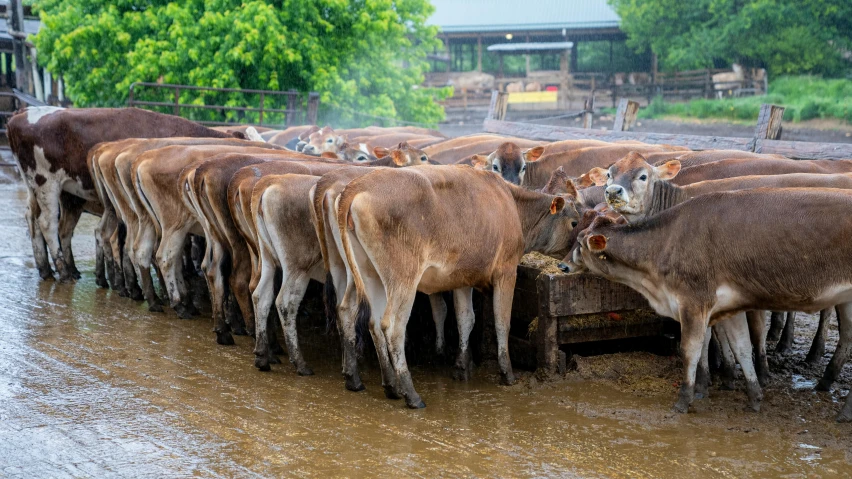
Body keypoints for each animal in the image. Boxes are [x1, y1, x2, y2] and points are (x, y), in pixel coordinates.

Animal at [336, 166, 584, 408]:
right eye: (574, 222)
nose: (569, 262)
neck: (513, 205)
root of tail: (360, 184)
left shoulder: (463, 277)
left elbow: (466, 319)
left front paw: (461, 367)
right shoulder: (506, 270)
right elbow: (502, 321)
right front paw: (507, 374)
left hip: (365, 274)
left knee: (356, 314)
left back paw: (375, 383)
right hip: (402, 278)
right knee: (392, 326)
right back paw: (411, 395)